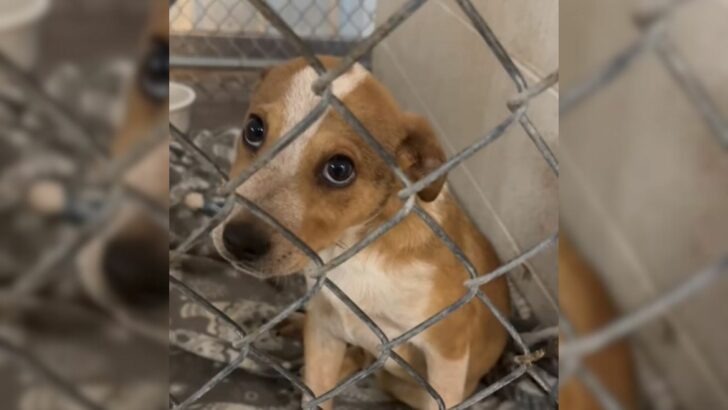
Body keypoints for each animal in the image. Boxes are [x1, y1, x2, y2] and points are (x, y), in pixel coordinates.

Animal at [212, 56, 512, 410]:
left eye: (339, 169)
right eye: (254, 130)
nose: (238, 241)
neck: (357, 253)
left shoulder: (447, 348)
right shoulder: (325, 330)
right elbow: (317, 392)